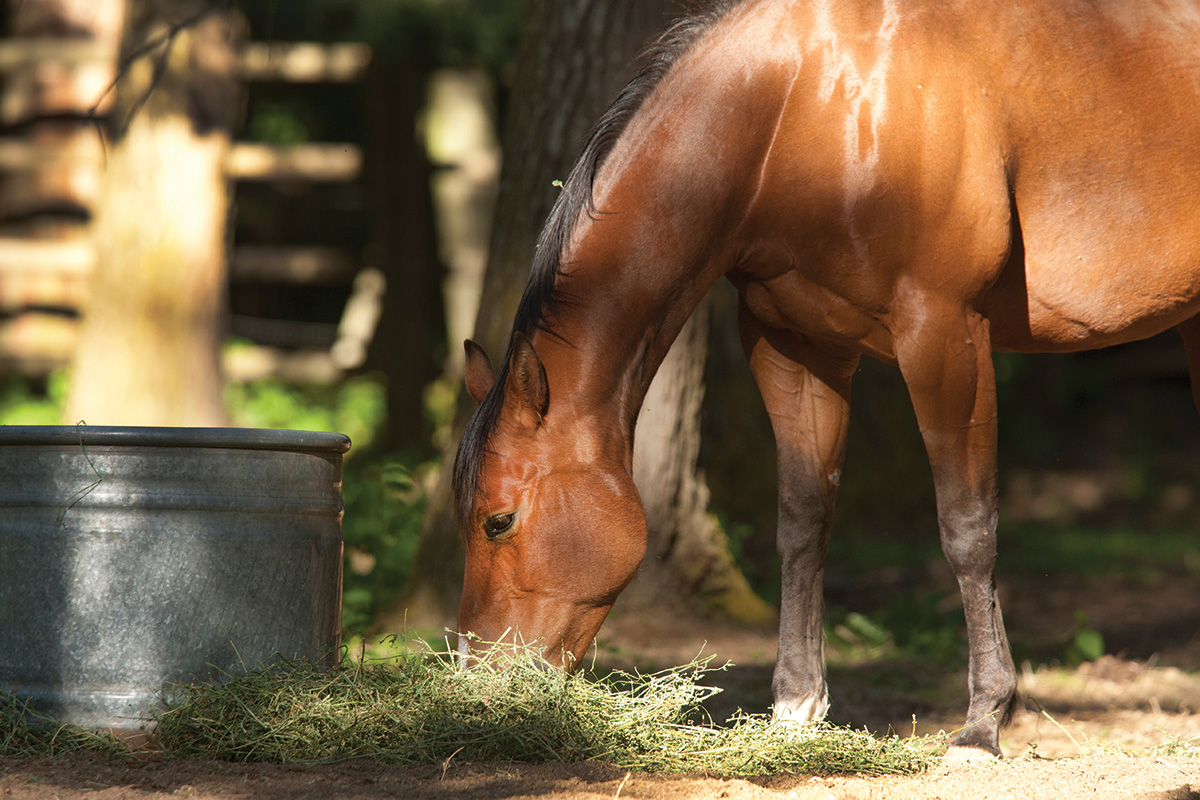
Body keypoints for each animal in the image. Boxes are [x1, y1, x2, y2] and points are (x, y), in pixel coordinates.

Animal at [451, 0, 1200, 758]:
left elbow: (966, 526)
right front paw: (795, 707)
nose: (477, 682)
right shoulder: (796, 346)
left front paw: (984, 720)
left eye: (498, 521)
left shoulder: (944, 333)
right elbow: (802, 522)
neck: (803, 111)